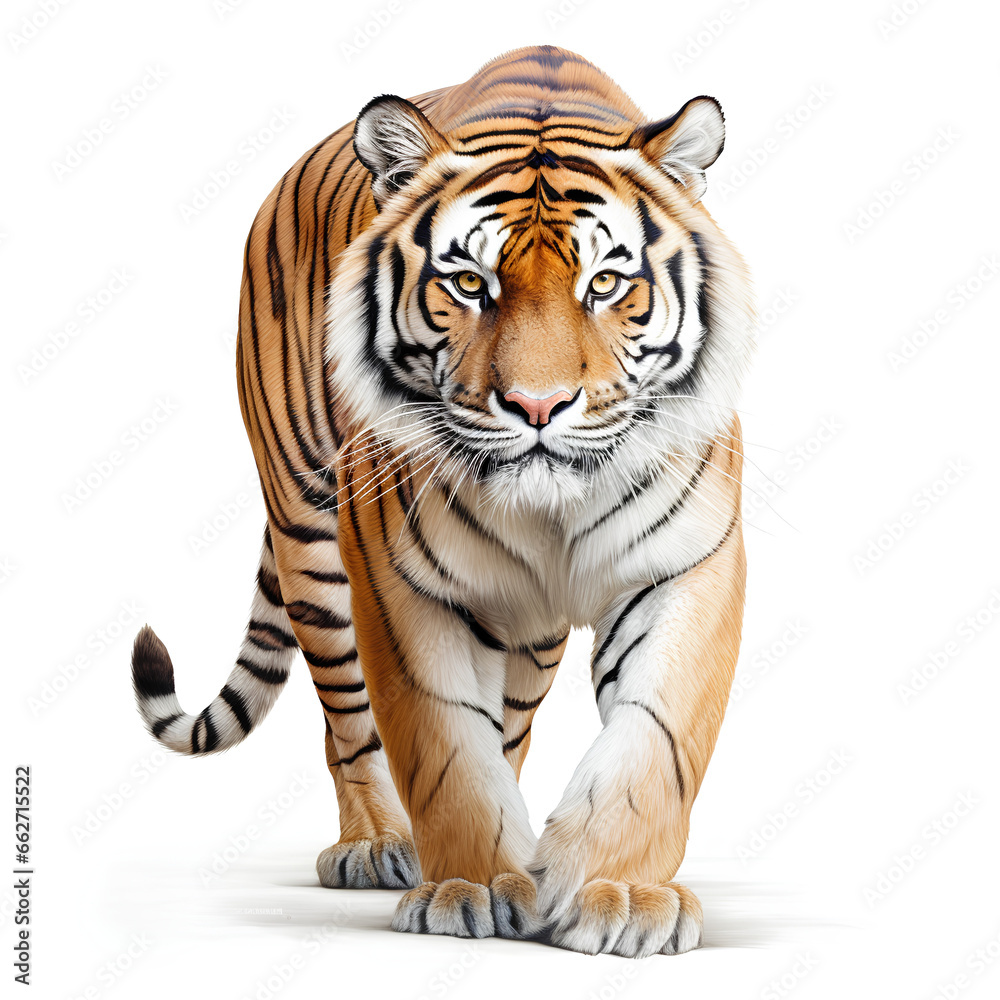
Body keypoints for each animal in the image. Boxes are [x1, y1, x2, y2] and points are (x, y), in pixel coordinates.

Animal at [131, 44, 755, 957]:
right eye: (467, 283)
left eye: (606, 283)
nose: (538, 405)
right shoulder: (399, 582)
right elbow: (442, 743)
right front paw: (471, 886)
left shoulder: (686, 566)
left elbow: (655, 741)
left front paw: (622, 894)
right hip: (312, 541)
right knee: (348, 723)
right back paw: (377, 846)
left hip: (526, 631)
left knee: (513, 725)